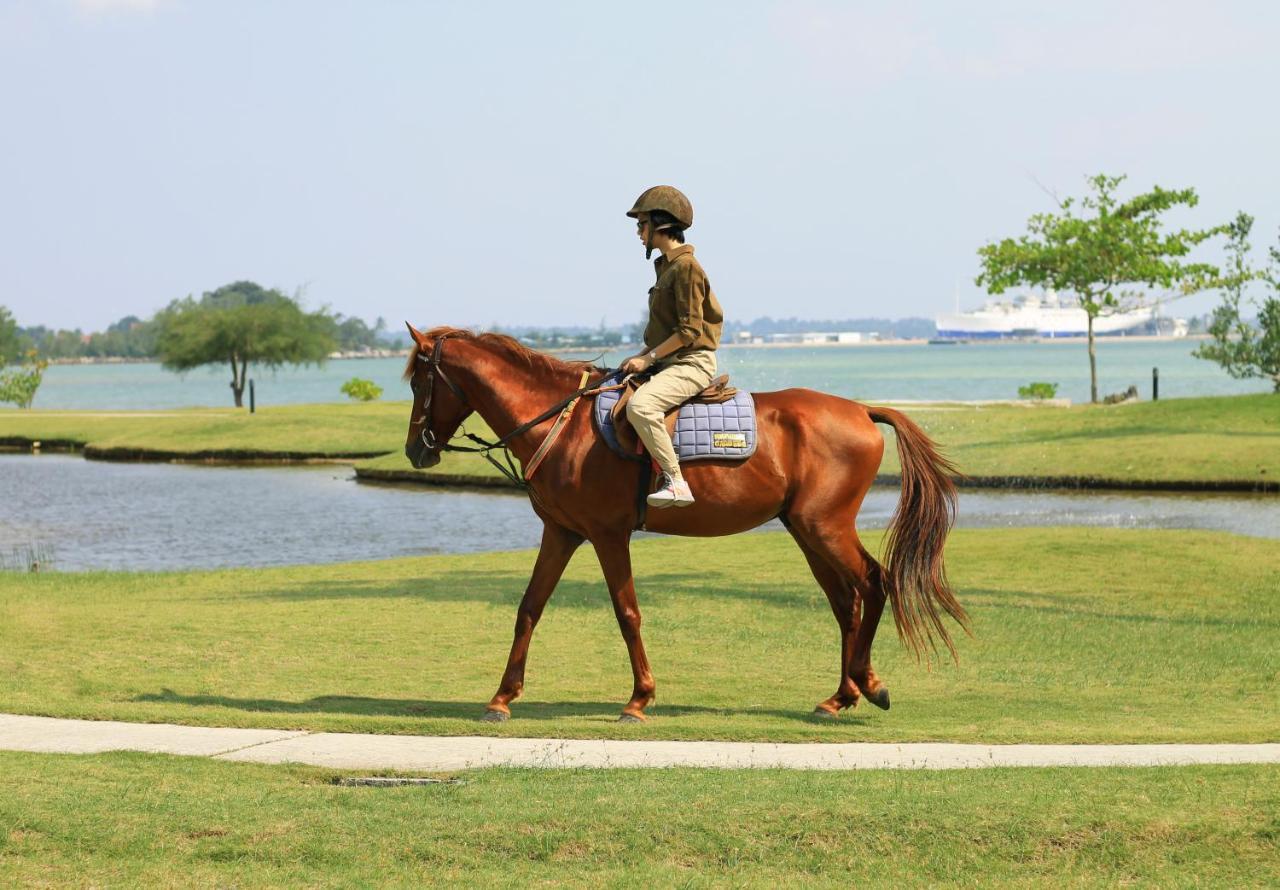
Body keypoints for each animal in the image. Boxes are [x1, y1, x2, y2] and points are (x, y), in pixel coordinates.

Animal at [401, 327, 967, 722]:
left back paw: (867, 685)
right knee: (845, 602)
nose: (415, 450)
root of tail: (862, 411)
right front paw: (502, 696)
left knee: (873, 583)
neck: (563, 424)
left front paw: (639, 699)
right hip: (808, 532)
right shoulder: (562, 533)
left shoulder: (607, 536)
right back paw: (841, 695)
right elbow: (529, 609)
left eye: (420, 382)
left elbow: (627, 613)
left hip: (825, 528)